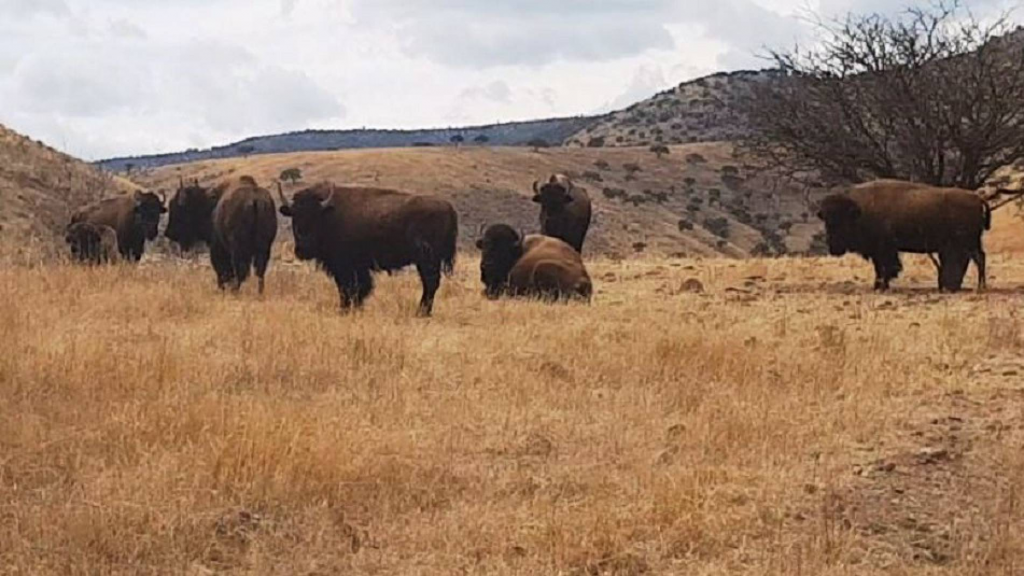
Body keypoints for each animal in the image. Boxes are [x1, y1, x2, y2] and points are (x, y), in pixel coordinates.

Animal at [278, 181, 458, 313]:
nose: (303, 248)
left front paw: (345, 309)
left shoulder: (347, 267)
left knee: (430, 283)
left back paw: (421, 313)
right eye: (295, 216)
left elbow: (350, 288)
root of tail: (448, 207)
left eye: (315, 217)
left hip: (427, 260)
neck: (328, 215)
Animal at [815, 178, 991, 291]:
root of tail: (977, 198)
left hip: (968, 242)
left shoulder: (884, 250)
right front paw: (878, 286)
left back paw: (980, 286)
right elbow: (879, 268)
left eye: (843, 221)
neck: (860, 210)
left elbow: (885, 268)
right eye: (826, 221)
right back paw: (978, 285)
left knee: (978, 259)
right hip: (972, 242)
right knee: (979, 258)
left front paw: (881, 286)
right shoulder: (879, 251)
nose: (834, 248)